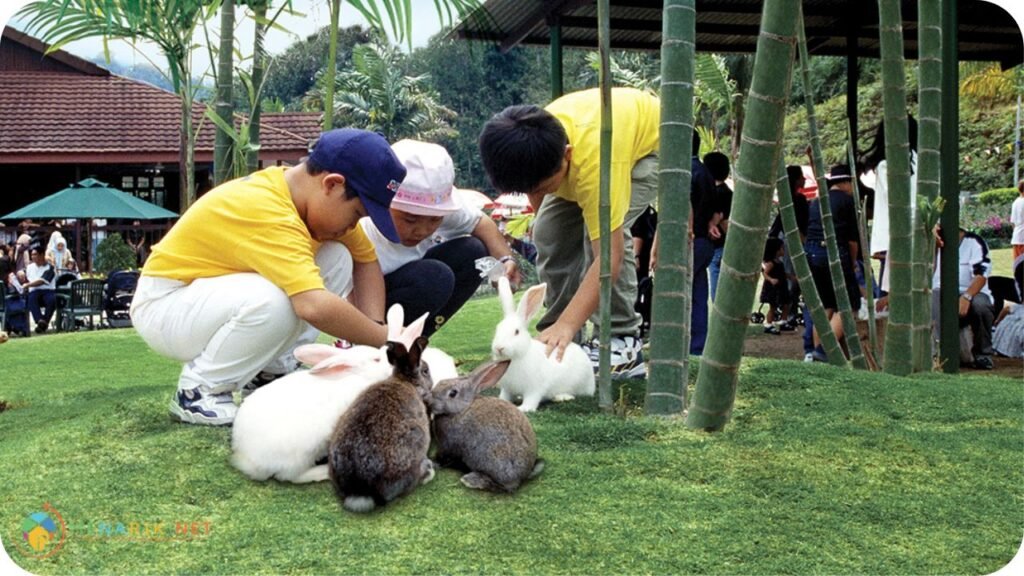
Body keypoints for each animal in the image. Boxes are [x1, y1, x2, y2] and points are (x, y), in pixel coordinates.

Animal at [229, 306, 429, 484]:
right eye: (377, 359)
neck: (358, 375)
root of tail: (247, 458)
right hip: (302, 453)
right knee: (290, 477)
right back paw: (322, 471)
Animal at [430, 359, 545, 493]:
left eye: (453, 393)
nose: (430, 402)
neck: (462, 409)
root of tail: (524, 475)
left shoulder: (448, 446)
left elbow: (443, 458)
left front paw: (432, 463)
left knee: (505, 487)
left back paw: (472, 480)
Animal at [491, 277, 595, 412]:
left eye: (516, 332)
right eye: (497, 329)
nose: (499, 348)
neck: (516, 358)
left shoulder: (534, 388)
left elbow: (531, 399)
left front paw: (523, 409)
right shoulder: (507, 389)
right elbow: (505, 396)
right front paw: (500, 401)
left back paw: (562, 397)